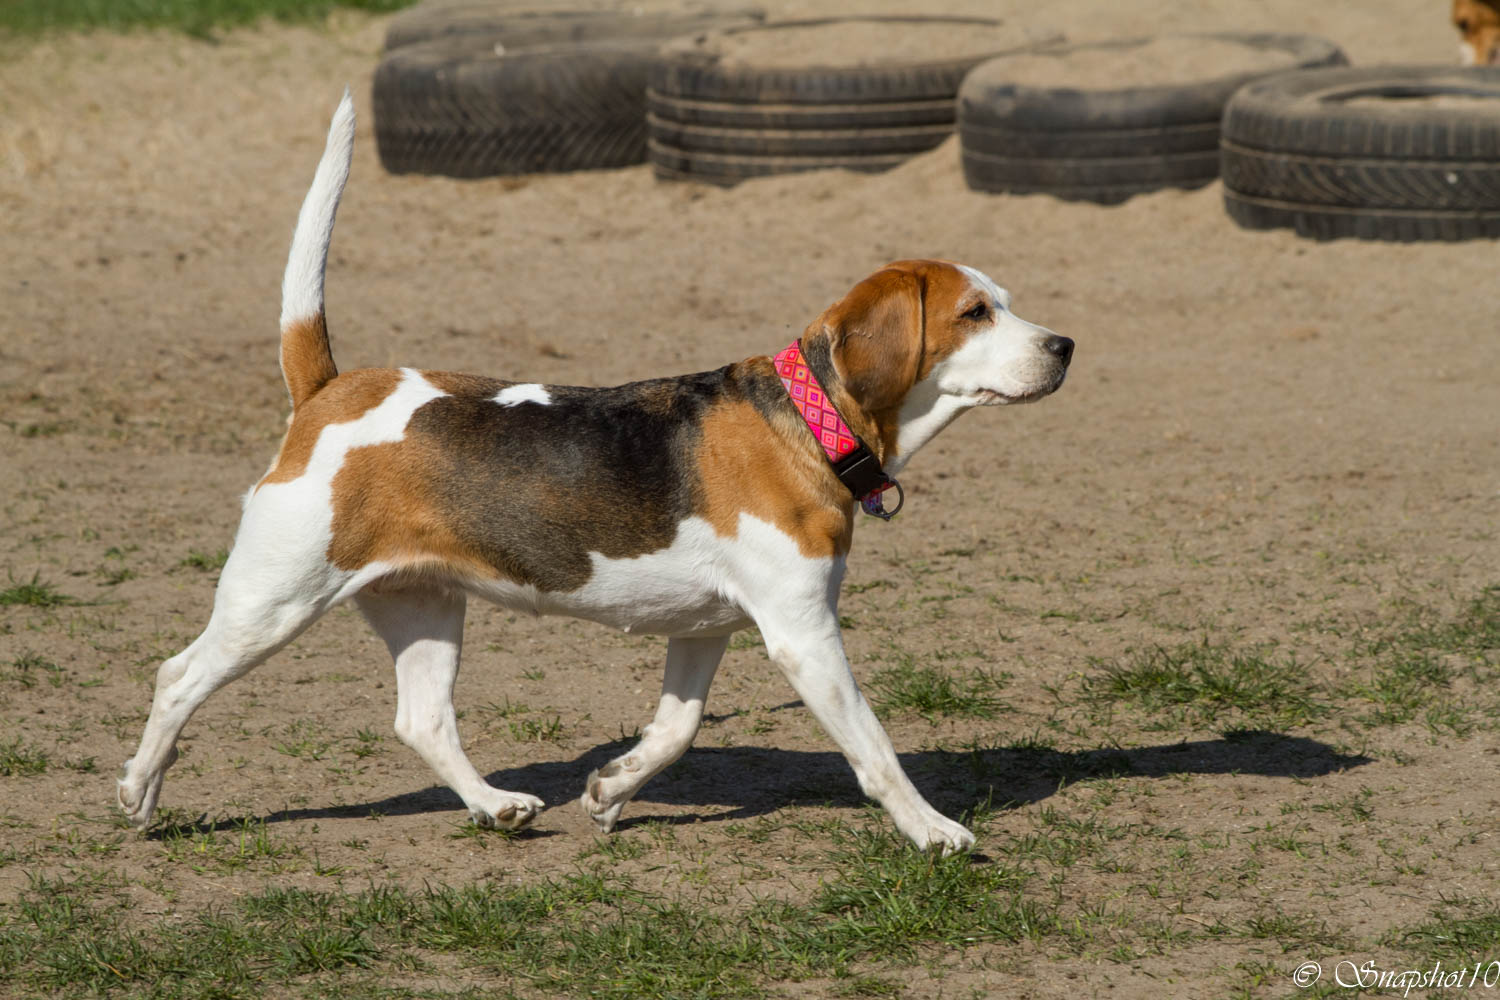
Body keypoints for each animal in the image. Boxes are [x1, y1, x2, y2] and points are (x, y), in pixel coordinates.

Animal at [120, 95, 1080, 851]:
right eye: (975, 312)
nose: (1066, 345)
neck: (809, 417)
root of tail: (330, 387)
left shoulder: (706, 630)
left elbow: (675, 732)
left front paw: (612, 791)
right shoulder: (803, 633)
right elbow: (874, 749)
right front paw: (933, 830)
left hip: (423, 602)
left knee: (421, 720)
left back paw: (495, 807)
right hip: (275, 600)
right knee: (178, 677)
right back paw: (140, 793)